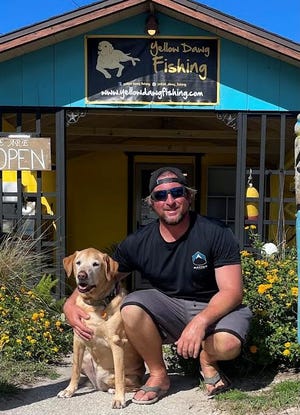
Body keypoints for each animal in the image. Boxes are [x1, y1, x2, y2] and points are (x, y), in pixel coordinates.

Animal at [57, 247, 145, 410]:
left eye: (95, 264)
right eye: (78, 263)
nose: (81, 275)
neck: (95, 303)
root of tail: (97, 384)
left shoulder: (117, 343)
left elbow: (120, 376)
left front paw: (119, 399)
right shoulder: (78, 340)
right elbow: (74, 370)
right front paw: (69, 390)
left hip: (122, 377)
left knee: (132, 385)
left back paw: (115, 390)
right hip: (86, 360)